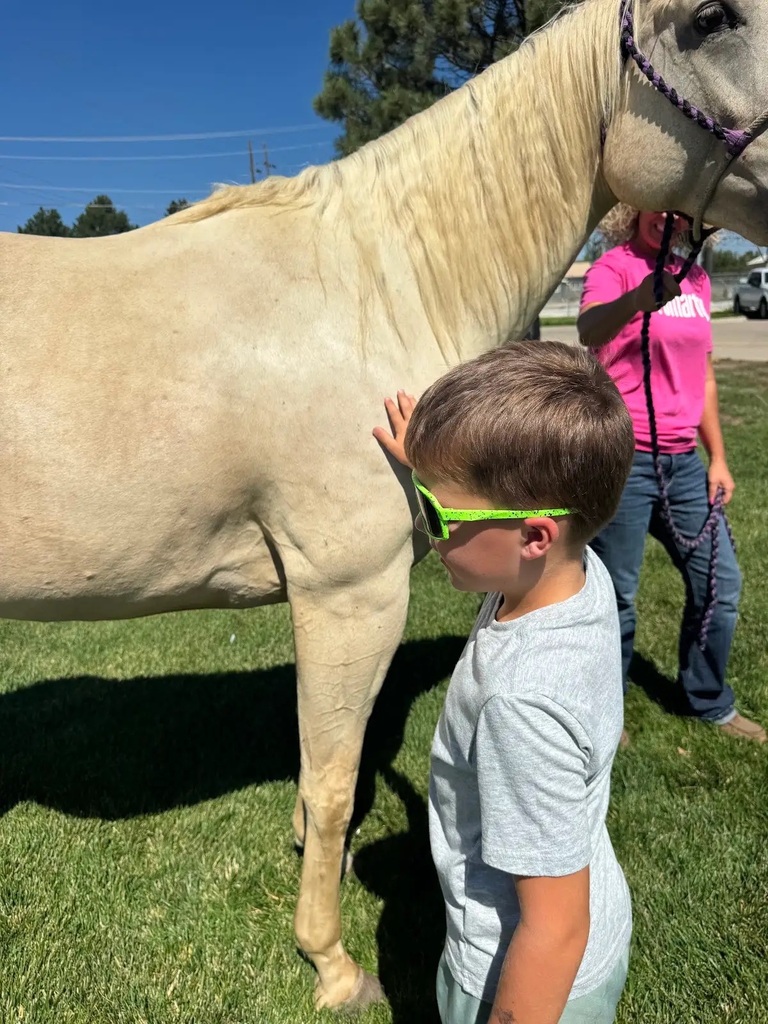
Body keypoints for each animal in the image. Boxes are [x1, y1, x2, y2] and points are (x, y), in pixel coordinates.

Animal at [2, 0, 768, 1010]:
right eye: (710, 19)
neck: (374, 288)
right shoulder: (351, 593)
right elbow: (333, 783)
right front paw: (331, 964)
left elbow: (328, 774)